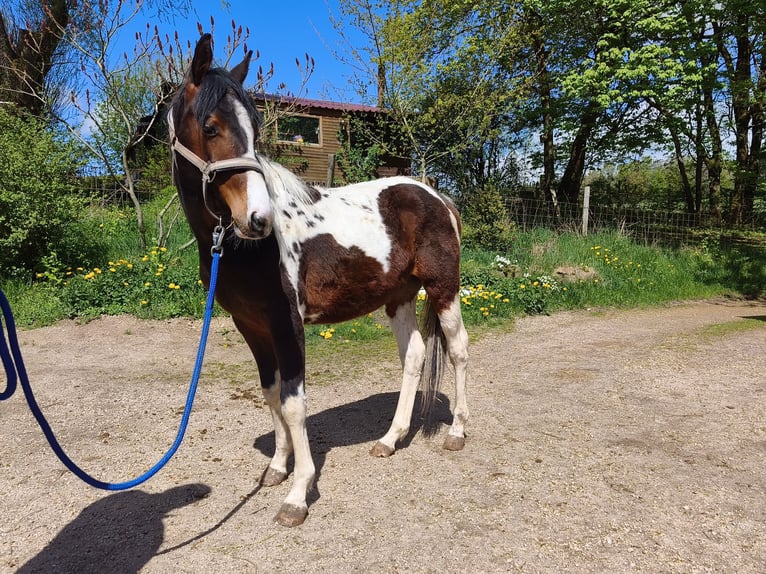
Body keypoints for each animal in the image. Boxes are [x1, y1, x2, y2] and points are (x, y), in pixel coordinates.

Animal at [167, 34, 469, 527]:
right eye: (210, 127)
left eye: (255, 128)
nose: (258, 218)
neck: (247, 250)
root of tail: (436, 197)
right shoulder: (251, 325)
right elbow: (271, 393)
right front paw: (277, 467)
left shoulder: (286, 324)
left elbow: (294, 402)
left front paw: (298, 493)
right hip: (399, 298)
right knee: (414, 356)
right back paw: (390, 439)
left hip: (443, 290)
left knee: (458, 351)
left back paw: (458, 432)